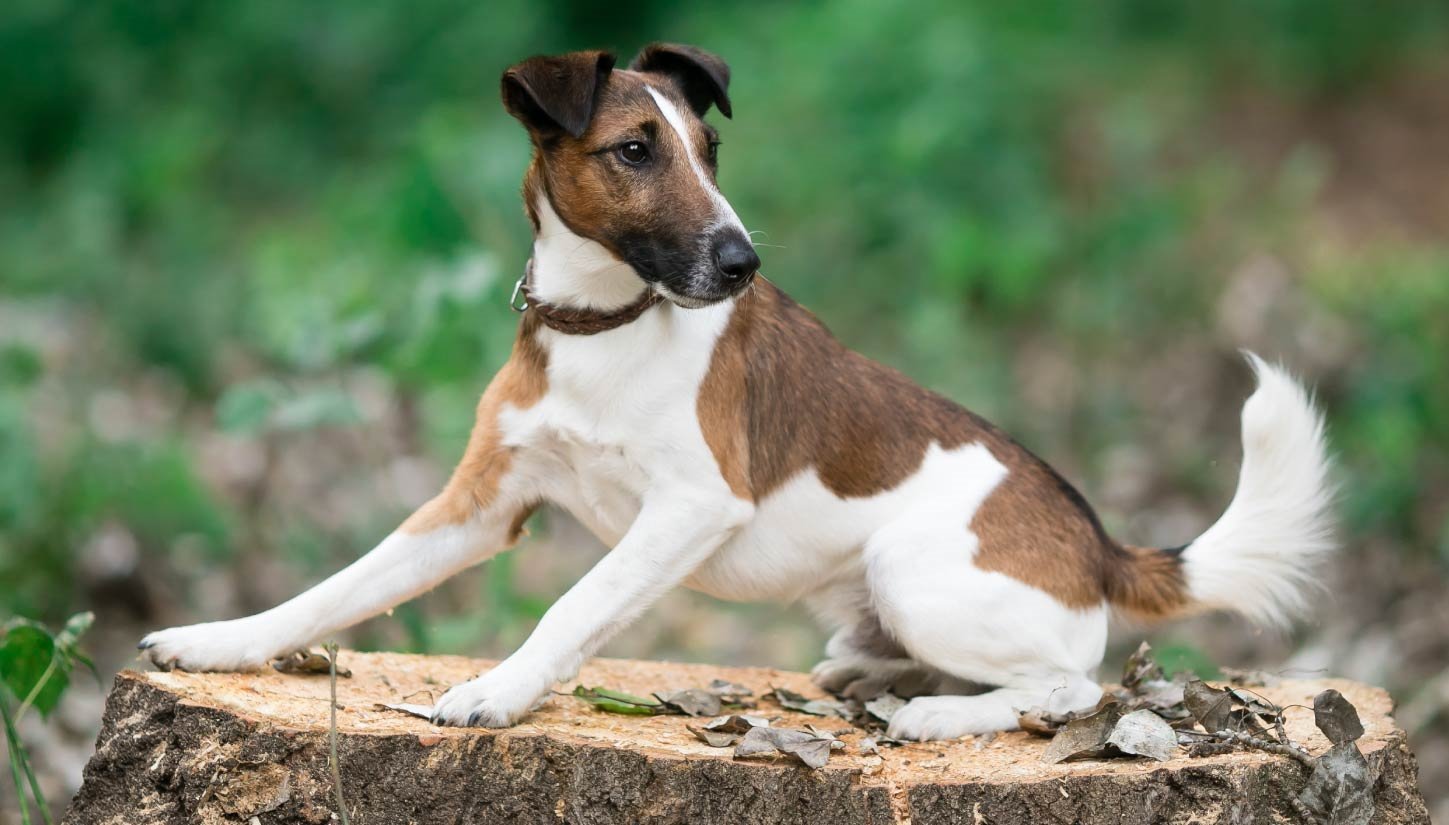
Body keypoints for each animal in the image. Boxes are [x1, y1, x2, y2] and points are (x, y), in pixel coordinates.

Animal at [138, 43, 1333, 739]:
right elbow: (339, 587)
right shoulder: (480, 502)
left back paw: (940, 718)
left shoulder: (691, 508)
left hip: (916, 572)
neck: (608, 327)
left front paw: (496, 692)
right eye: (634, 150)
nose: (742, 259)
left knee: (1076, 685)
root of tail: (1101, 546)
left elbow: (572, 607)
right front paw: (221, 642)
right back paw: (879, 682)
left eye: (709, 146)